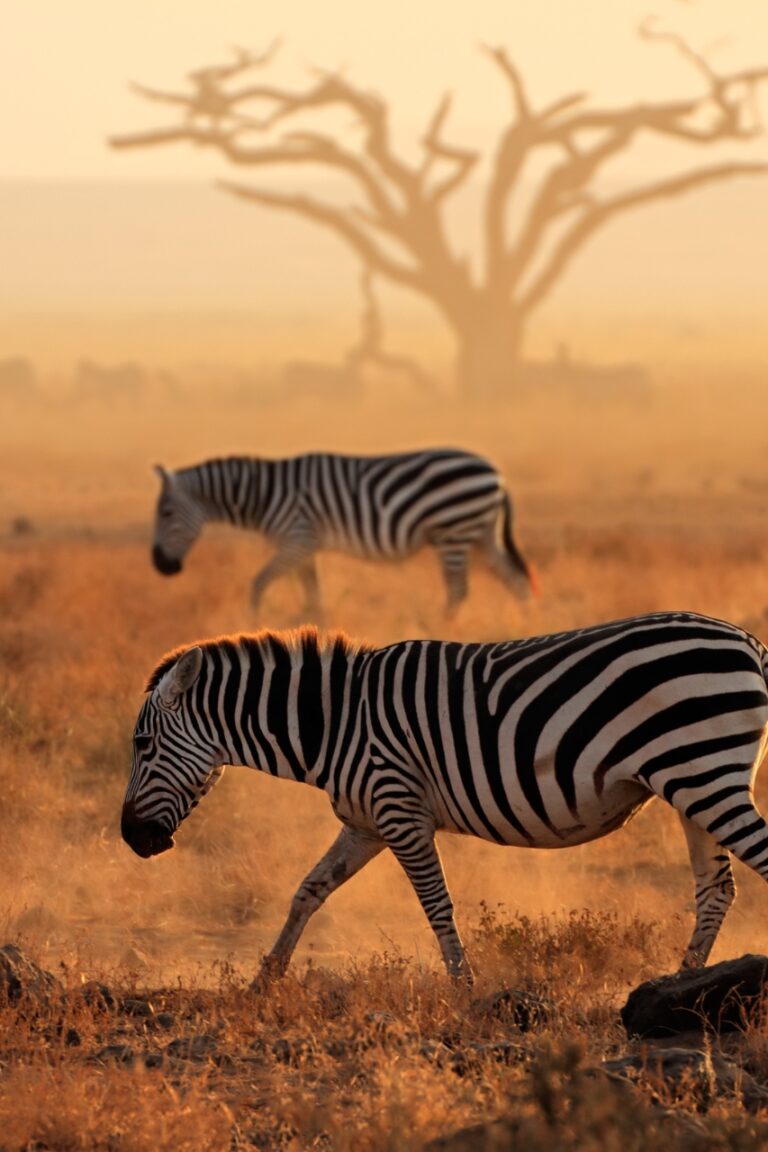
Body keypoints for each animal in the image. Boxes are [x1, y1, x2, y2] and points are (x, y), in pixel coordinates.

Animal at [121, 611, 768, 981]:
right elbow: (308, 891)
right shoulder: (365, 822)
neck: (334, 722)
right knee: (716, 890)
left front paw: (465, 989)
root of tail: (746, 640)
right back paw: (680, 986)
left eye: (143, 744)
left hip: (706, 772)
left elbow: (437, 904)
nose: (131, 839)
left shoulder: (399, 810)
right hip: (691, 784)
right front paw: (266, 979)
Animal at [150, 449, 535, 618]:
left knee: (458, 590)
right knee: (515, 578)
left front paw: (253, 622)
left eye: (166, 513)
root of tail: (497, 474)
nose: (160, 566)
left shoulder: (299, 538)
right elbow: (313, 591)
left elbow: (258, 583)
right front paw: (313, 626)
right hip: (481, 532)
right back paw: (526, 622)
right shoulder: (306, 546)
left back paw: (441, 629)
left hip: (454, 530)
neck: (264, 494)